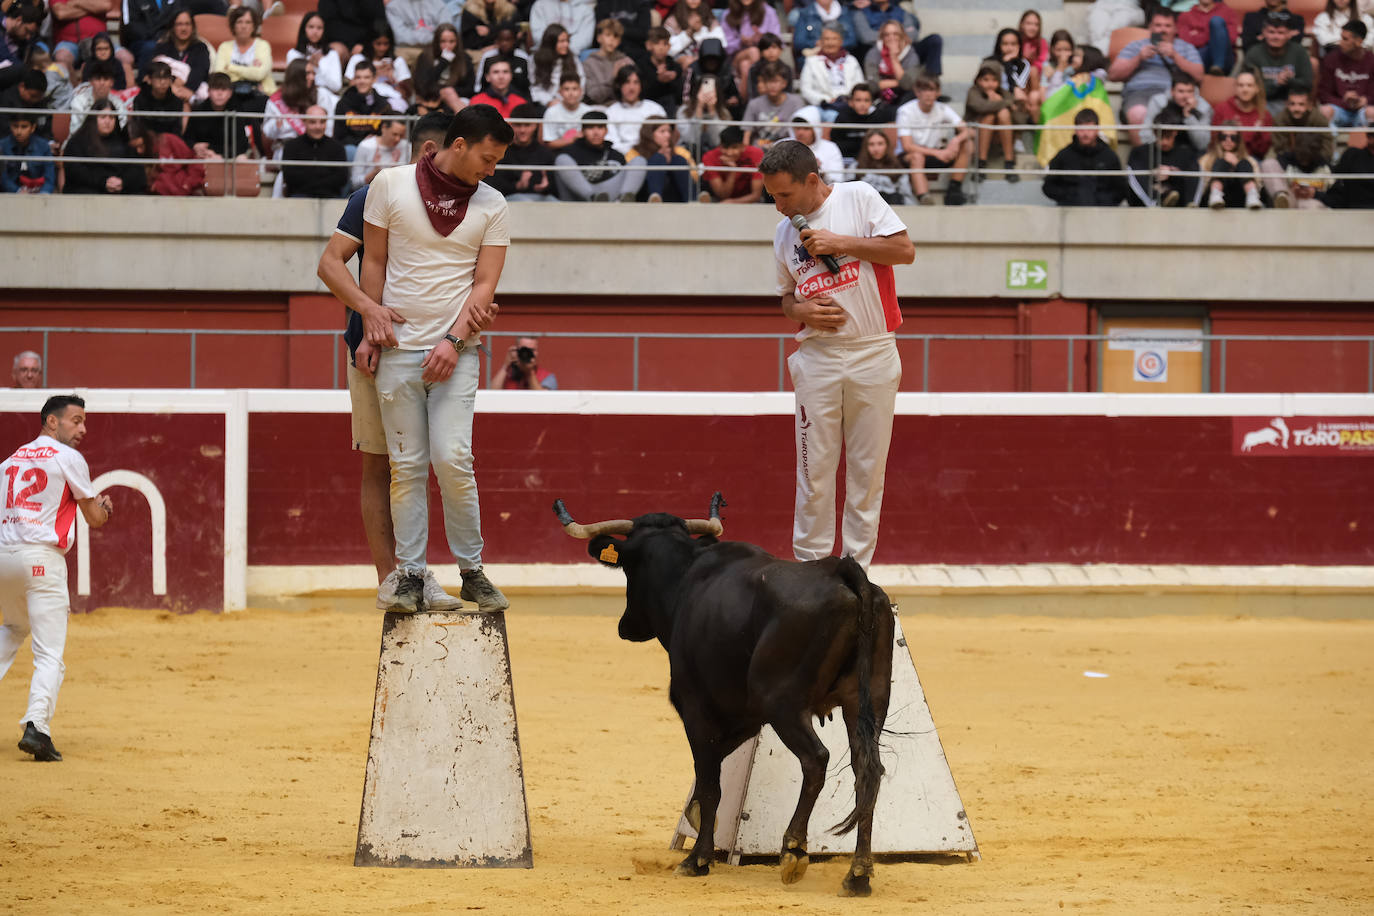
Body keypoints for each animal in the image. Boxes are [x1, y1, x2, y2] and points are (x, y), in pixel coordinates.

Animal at [552, 494, 895, 895]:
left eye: (627, 569)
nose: (627, 627)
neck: (687, 578)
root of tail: (842, 572)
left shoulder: (695, 708)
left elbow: (710, 781)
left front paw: (697, 858)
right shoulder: (746, 715)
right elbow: (710, 774)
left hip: (785, 706)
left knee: (816, 760)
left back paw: (794, 850)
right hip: (868, 702)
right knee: (868, 770)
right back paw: (858, 873)